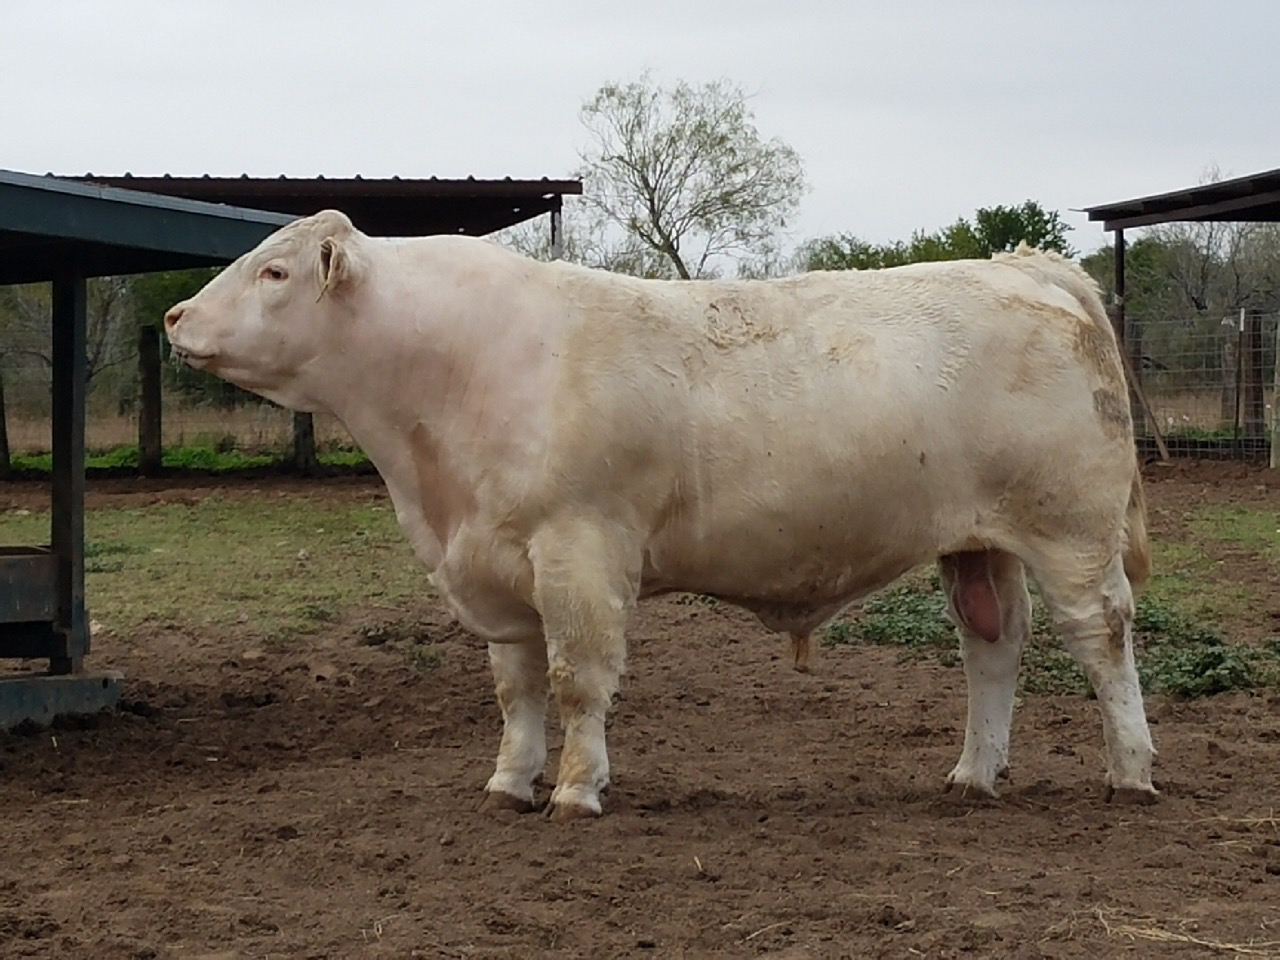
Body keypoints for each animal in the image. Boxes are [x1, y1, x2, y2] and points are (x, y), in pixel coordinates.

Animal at [162, 209, 1162, 819]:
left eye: (274, 270)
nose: (173, 317)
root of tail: (1026, 269)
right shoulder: (494, 570)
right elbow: (517, 689)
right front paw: (509, 781)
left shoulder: (578, 548)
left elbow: (577, 679)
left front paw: (576, 789)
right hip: (977, 542)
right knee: (993, 647)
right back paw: (972, 775)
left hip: (1071, 529)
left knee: (1101, 637)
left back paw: (1131, 772)